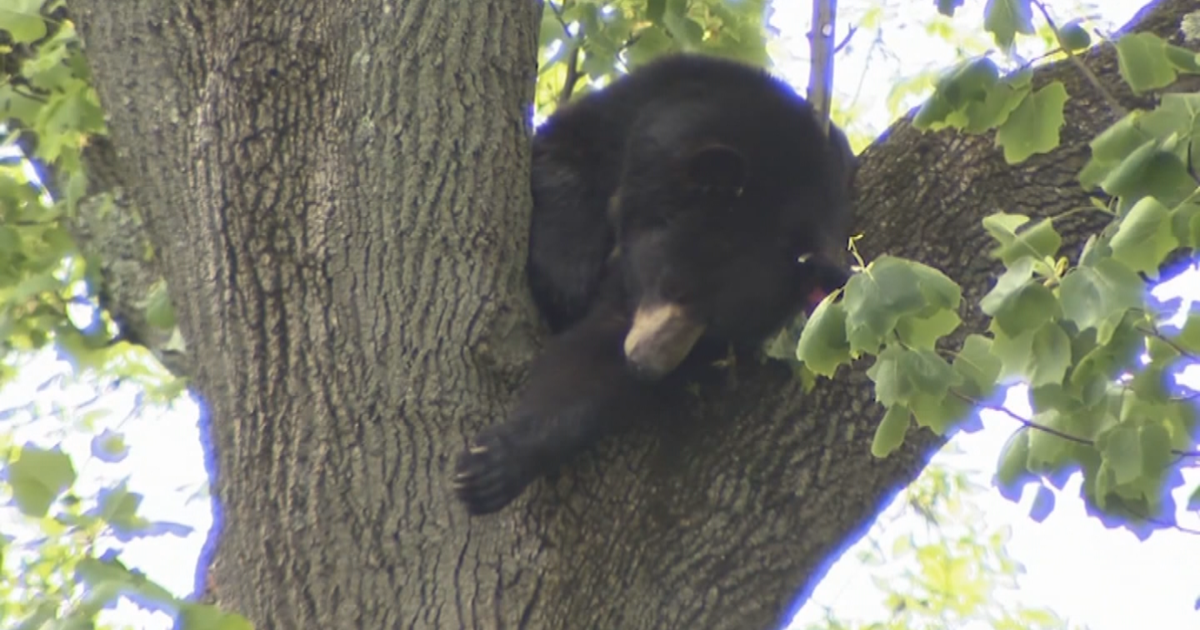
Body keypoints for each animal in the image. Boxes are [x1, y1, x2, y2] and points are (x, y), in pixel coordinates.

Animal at [453, 54, 859, 516]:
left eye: (716, 333)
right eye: (673, 286)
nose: (645, 365)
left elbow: (590, 364)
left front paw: (497, 465)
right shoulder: (627, 115)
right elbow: (565, 161)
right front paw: (566, 274)